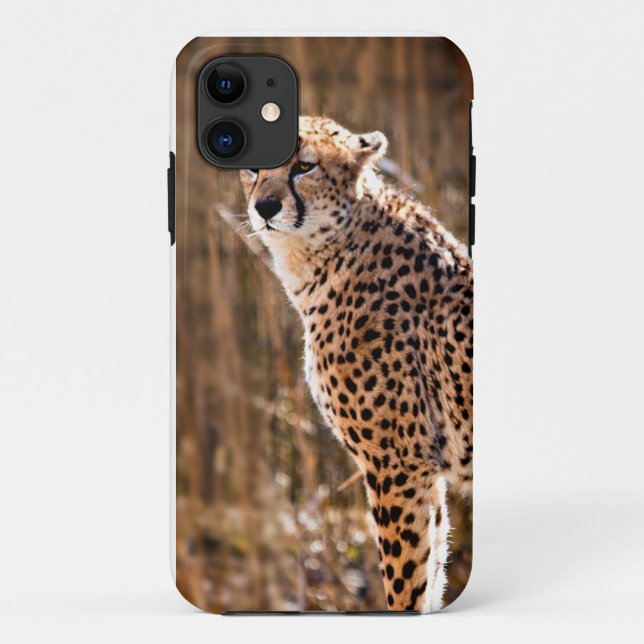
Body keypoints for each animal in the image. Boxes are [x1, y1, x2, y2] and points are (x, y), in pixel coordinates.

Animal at [240, 116, 473, 613]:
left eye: (304, 166)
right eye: (251, 165)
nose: (265, 206)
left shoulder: (398, 465)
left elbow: (406, 584)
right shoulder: (422, 471)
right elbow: (431, 575)